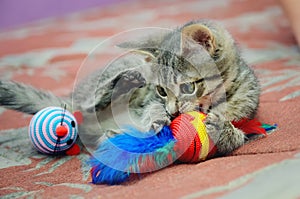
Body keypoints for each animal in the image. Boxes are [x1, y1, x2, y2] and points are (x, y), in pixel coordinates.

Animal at [0, 19, 260, 155]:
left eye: (188, 88)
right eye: (161, 91)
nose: (173, 112)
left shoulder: (248, 112)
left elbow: (240, 135)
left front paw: (223, 129)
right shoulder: (151, 98)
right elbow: (152, 107)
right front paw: (156, 117)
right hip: (98, 92)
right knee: (89, 104)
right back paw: (125, 81)